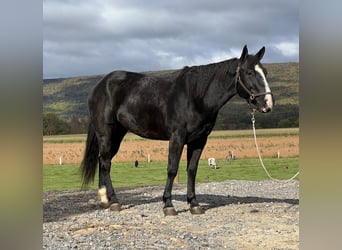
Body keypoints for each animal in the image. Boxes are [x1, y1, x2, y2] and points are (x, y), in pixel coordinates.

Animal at [79, 45, 272, 215]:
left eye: (265, 72)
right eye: (249, 72)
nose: (268, 104)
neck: (195, 97)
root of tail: (100, 85)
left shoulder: (199, 140)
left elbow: (192, 170)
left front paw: (194, 204)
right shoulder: (177, 137)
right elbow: (172, 169)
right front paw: (168, 205)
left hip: (117, 134)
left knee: (104, 161)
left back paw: (105, 199)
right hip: (106, 133)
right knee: (105, 162)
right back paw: (114, 201)